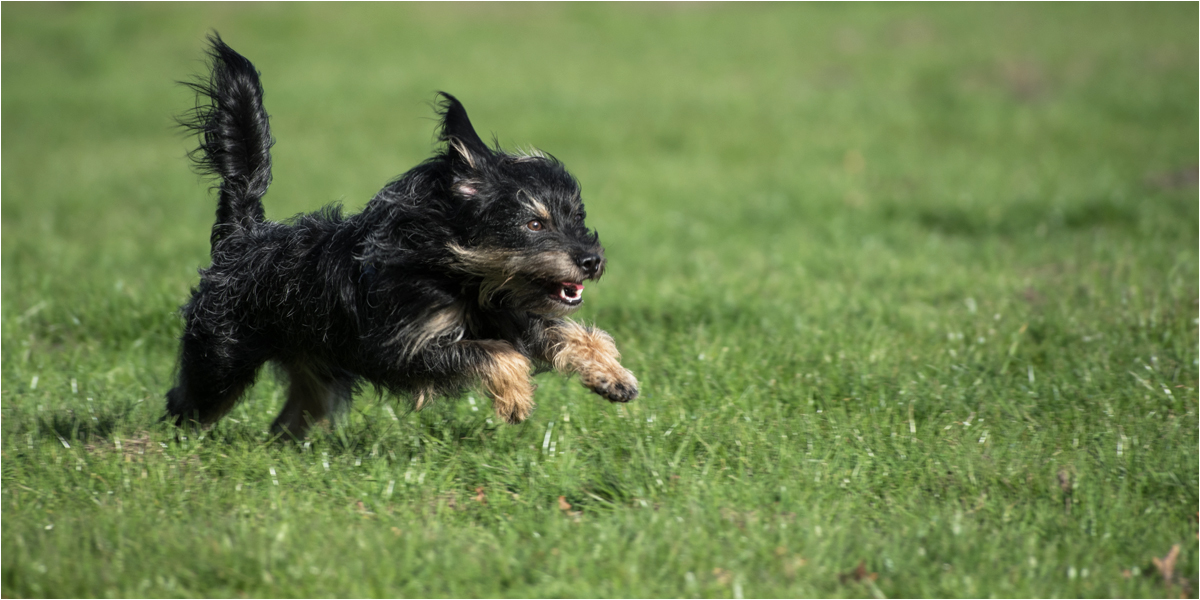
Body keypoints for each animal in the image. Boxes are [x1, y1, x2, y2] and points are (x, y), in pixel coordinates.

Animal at [166, 35, 648, 436]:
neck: (454, 272)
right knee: (186, 405)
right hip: (220, 360)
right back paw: (173, 449)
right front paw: (515, 398)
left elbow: (569, 333)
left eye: (578, 218)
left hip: (317, 367)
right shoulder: (401, 346)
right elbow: (496, 353)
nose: (592, 261)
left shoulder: (508, 314)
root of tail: (241, 237)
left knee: (291, 418)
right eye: (534, 224)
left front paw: (613, 376)